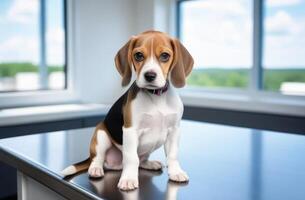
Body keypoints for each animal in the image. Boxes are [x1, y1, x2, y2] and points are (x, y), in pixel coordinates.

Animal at [61, 30, 192, 191]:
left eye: (165, 56)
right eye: (138, 55)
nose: (149, 75)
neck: (156, 96)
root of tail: (115, 165)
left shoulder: (174, 130)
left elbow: (172, 155)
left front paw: (176, 172)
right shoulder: (130, 130)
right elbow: (131, 158)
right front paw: (129, 179)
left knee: (141, 160)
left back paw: (149, 163)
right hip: (100, 134)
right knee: (98, 158)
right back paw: (96, 169)